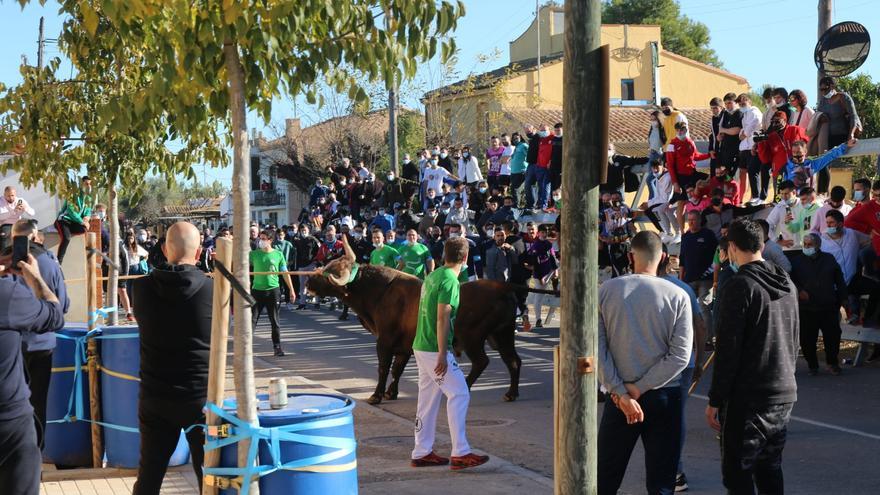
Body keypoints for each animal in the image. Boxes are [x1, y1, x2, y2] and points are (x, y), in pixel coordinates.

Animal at [308, 240, 524, 406]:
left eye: (330, 274)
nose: (309, 282)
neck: (380, 292)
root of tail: (501, 286)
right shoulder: (404, 346)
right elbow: (397, 369)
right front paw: (391, 392)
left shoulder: (384, 342)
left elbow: (384, 367)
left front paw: (376, 396)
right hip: (502, 335)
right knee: (513, 360)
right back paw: (511, 393)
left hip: (473, 338)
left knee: (482, 361)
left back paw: (467, 386)